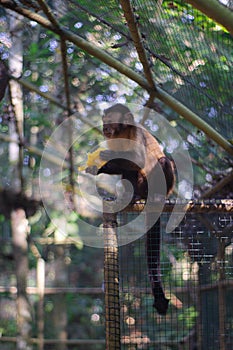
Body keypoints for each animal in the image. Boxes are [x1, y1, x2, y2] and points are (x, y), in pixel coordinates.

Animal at [87, 104, 175, 314]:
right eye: (104, 121)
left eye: (110, 121)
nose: (104, 128)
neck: (122, 131)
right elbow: (127, 165)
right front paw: (98, 166)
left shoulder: (135, 132)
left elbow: (138, 158)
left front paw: (103, 159)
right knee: (130, 172)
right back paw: (132, 196)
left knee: (163, 162)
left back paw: (157, 195)